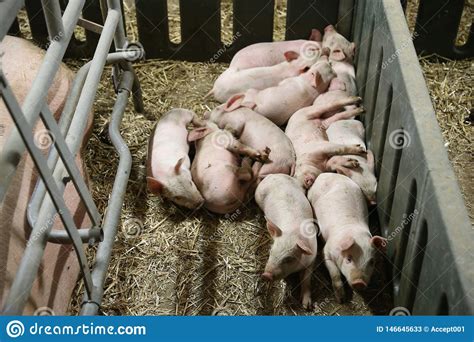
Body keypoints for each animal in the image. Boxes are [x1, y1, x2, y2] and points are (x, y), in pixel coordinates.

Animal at [256, 175, 318, 308]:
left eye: (289, 259)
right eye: (270, 252)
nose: (266, 275)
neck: (293, 234)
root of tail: (273, 175)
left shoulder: (312, 258)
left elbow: (307, 279)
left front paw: (306, 306)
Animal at [308, 174, 386, 302]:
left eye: (372, 262)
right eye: (349, 259)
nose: (359, 282)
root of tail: (325, 174)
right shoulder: (326, 251)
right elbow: (335, 274)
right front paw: (341, 299)